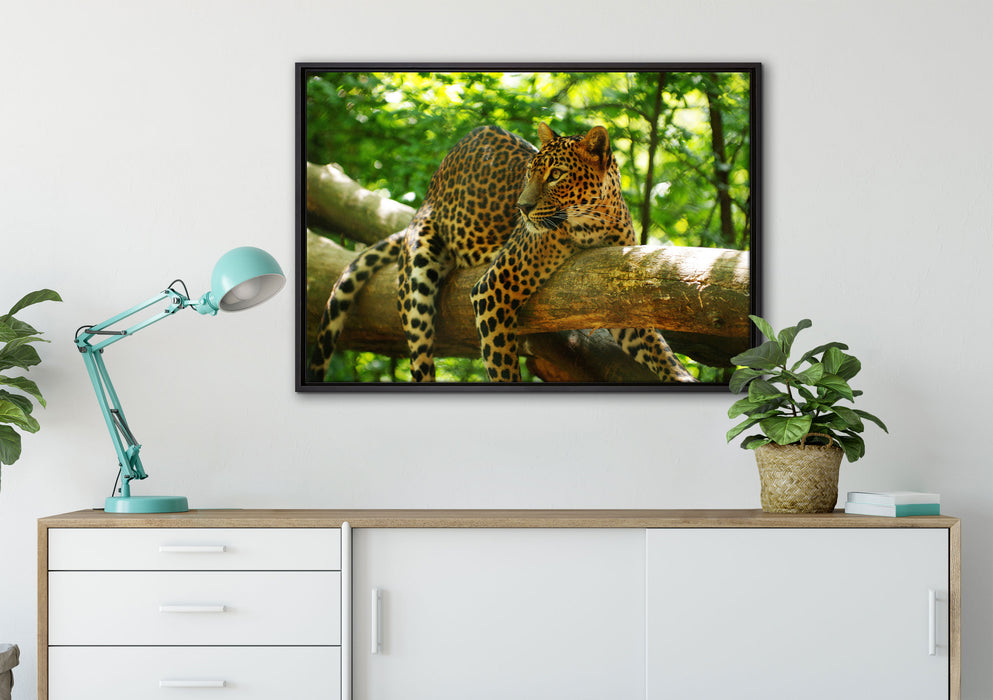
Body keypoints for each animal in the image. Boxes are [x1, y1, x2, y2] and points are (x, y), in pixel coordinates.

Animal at [306, 122, 697, 383]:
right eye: (529, 173)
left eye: (556, 175)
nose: (522, 208)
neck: (595, 222)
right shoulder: (492, 290)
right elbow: (503, 366)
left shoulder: (617, 297)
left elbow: (660, 351)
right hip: (418, 273)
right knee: (421, 355)